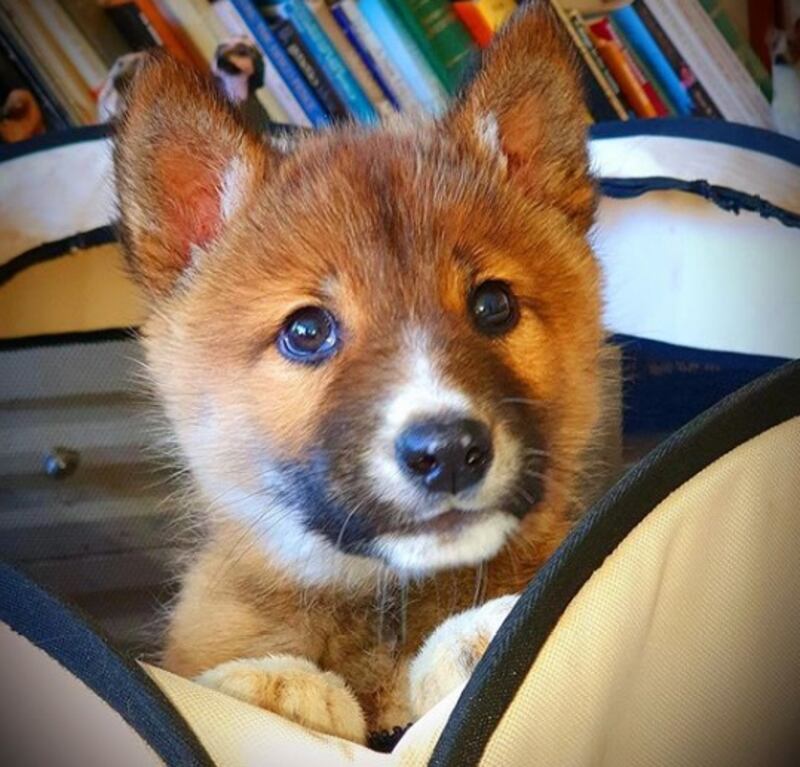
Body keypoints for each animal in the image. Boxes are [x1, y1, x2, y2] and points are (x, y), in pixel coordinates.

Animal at [114, 2, 605, 745]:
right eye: (307, 331)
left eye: (493, 305)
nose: (449, 453)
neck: (381, 605)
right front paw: (277, 685)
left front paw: (472, 639)